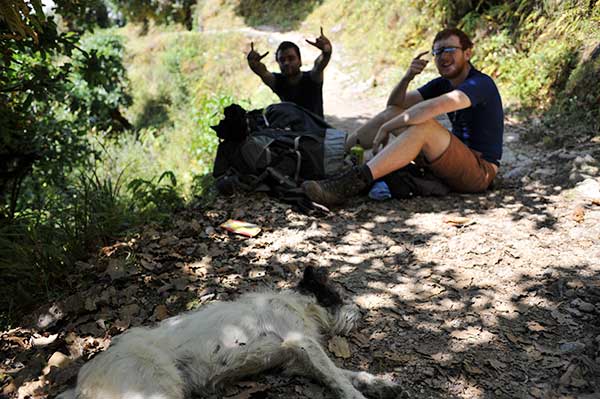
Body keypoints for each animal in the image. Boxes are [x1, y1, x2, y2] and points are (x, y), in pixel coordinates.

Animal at [58, 268, 406, 398]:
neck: (295, 303)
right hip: (153, 391)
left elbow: (343, 372)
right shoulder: (302, 341)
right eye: (335, 295)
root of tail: (83, 380)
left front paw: (380, 383)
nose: (363, 312)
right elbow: (337, 376)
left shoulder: (296, 360)